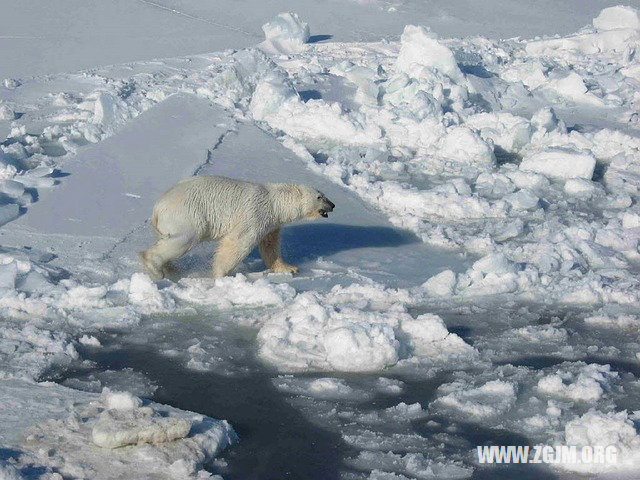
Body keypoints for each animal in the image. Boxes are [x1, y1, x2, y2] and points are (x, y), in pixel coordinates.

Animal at [139, 175, 336, 280]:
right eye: (320, 197)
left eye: (324, 195)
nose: (333, 205)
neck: (274, 202)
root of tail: (158, 206)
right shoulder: (256, 213)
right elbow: (239, 241)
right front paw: (221, 274)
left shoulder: (271, 223)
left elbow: (270, 247)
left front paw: (289, 268)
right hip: (188, 215)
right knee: (184, 239)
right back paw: (155, 268)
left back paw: (172, 270)